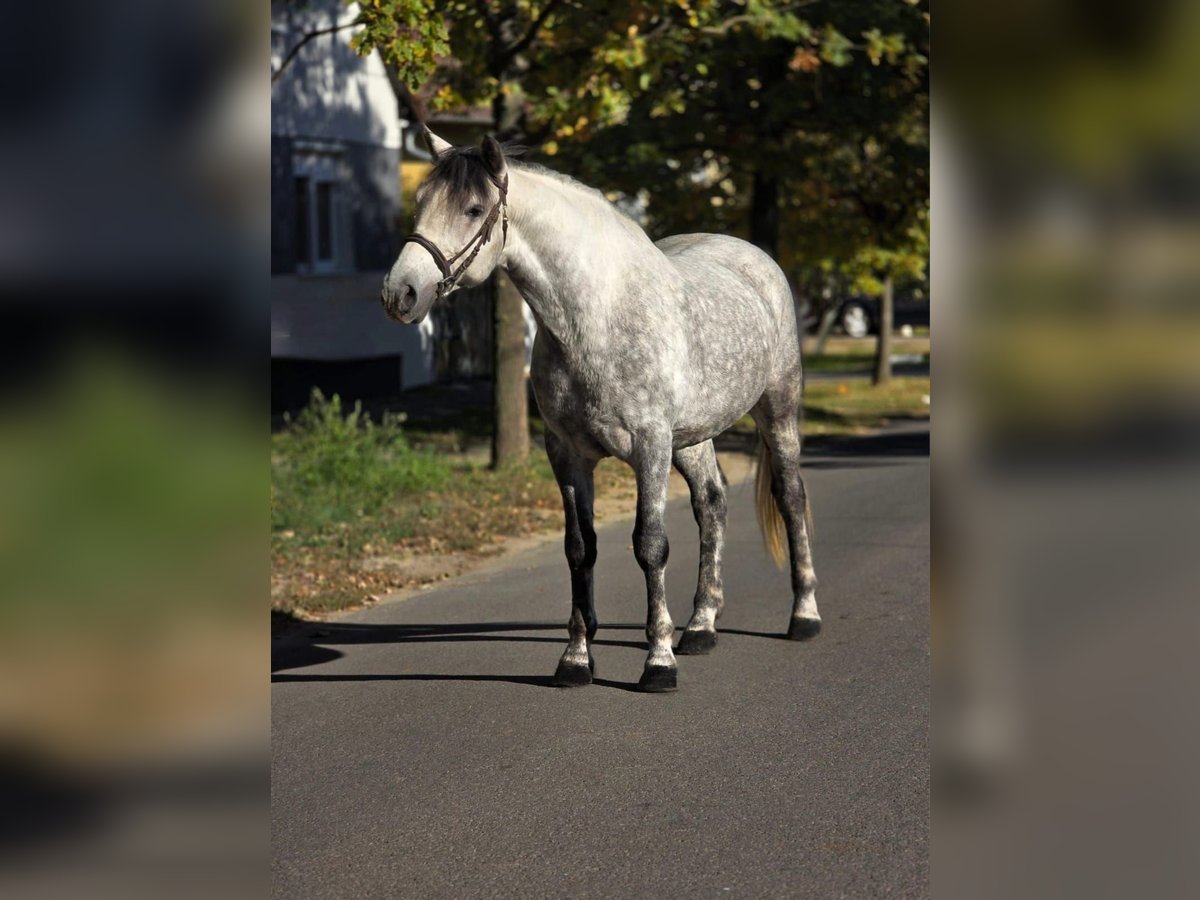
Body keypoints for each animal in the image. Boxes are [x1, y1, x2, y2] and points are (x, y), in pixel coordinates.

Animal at [381, 132, 819, 692]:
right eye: (419, 202)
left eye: (473, 208)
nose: (400, 292)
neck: (595, 319)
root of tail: (756, 259)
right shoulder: (567, 455)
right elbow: (579, 548)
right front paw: (575, 659)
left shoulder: (650, 447)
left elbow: (650, 545)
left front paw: (658, 662)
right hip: (692, 438)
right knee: (712, 503)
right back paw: (701, 626)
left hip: (776, 411)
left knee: (790, 497)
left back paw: (803, 615)